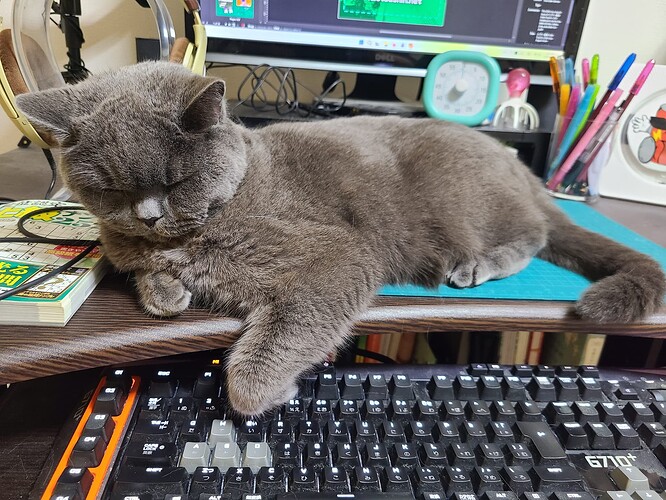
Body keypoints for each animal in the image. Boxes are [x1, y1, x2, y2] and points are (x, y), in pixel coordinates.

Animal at [15, 60, 664, 416]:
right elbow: (145, 275)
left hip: (472, 202)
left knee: (533, 235)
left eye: (176, 181)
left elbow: (268, 352)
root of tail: (518, 164)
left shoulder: (334, 258)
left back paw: (476, 264)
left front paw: (263, 392)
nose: (148, 215)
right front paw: (167, 291)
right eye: (111, 189)